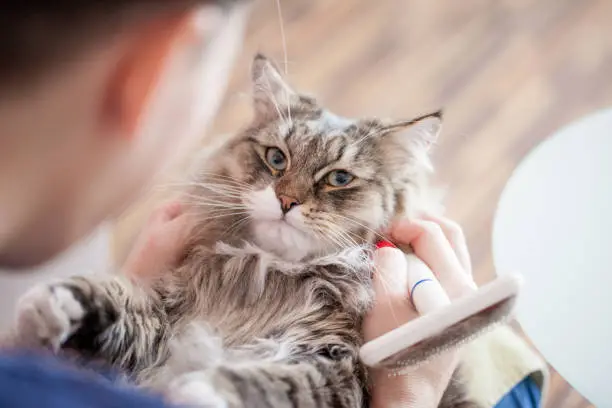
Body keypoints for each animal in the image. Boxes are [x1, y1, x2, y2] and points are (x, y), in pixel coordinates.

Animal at [9, 54, 478, 408]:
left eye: (338, 179)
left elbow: (269, 382)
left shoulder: (338, 365)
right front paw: (51, 303)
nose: (286, 202)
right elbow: (116, 297)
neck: (266, 271)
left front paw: (197, 388)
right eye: (276, 158)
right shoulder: (166, 312)